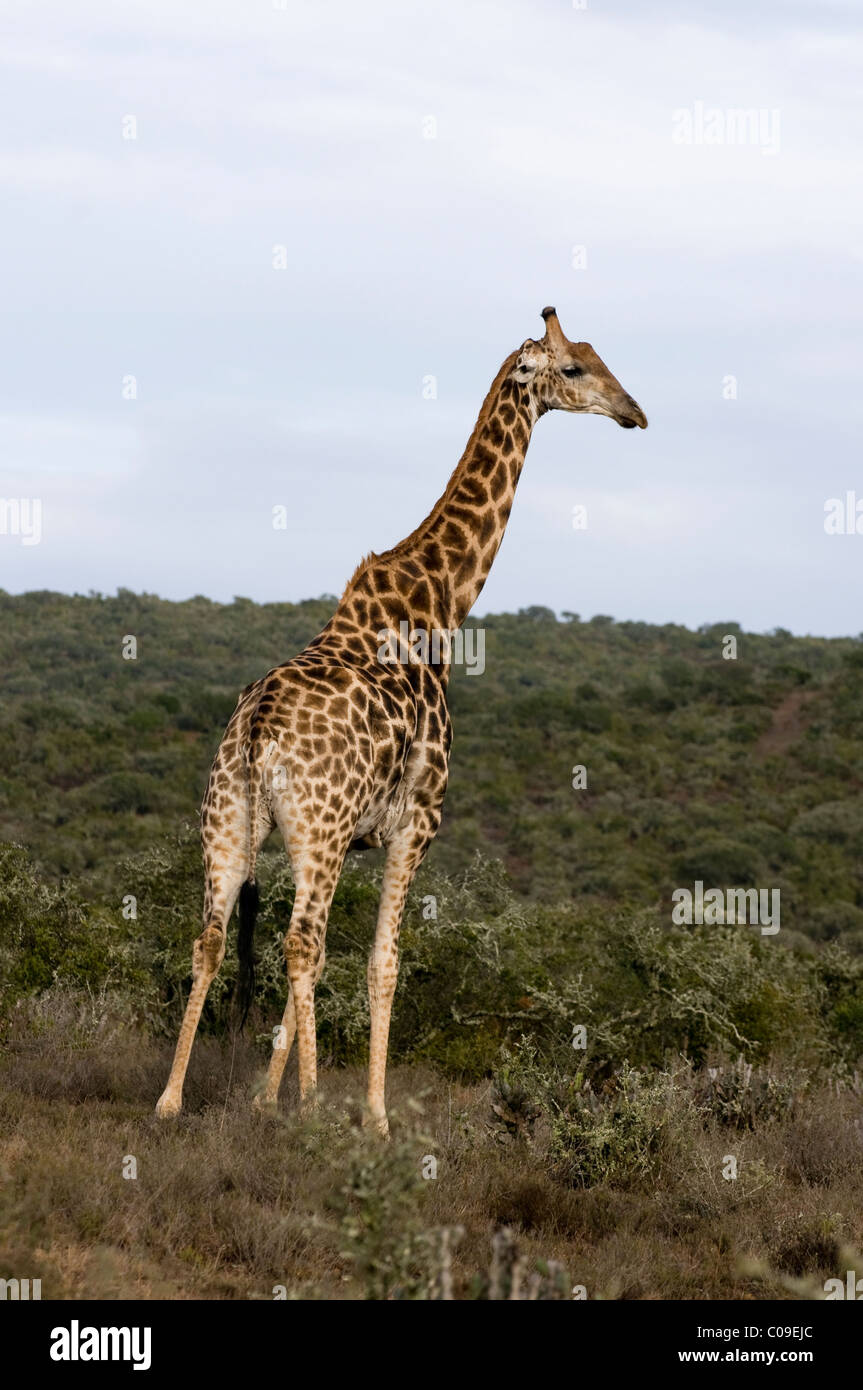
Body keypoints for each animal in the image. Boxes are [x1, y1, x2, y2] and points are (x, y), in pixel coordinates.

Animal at [156, 304, 644, 1128]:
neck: (441, 603)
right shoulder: (416, 821)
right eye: (575, 367)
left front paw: (263, 1097)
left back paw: (169, 1100)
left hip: (230, 821)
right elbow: (384, 961)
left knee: (215, 937)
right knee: (299, 942)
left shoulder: (354, 836)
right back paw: (316, 1106)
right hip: (312, 828)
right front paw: (372, 1117)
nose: (633, 413)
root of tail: (257, 730)